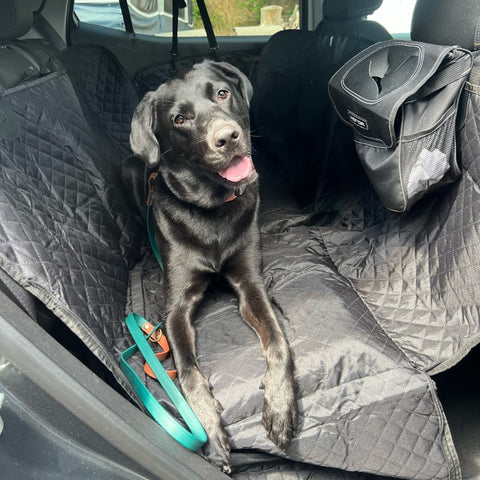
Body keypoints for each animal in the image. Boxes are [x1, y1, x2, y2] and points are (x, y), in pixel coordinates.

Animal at [129, 61, 298, 472]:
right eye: (180, 119)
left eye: (222, 93)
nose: (228, 137)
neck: (213, 210)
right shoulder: (175, 309)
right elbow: (188, 375)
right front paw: (210, 430)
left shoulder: (250, 283)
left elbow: (278, 342)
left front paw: (280, 404)